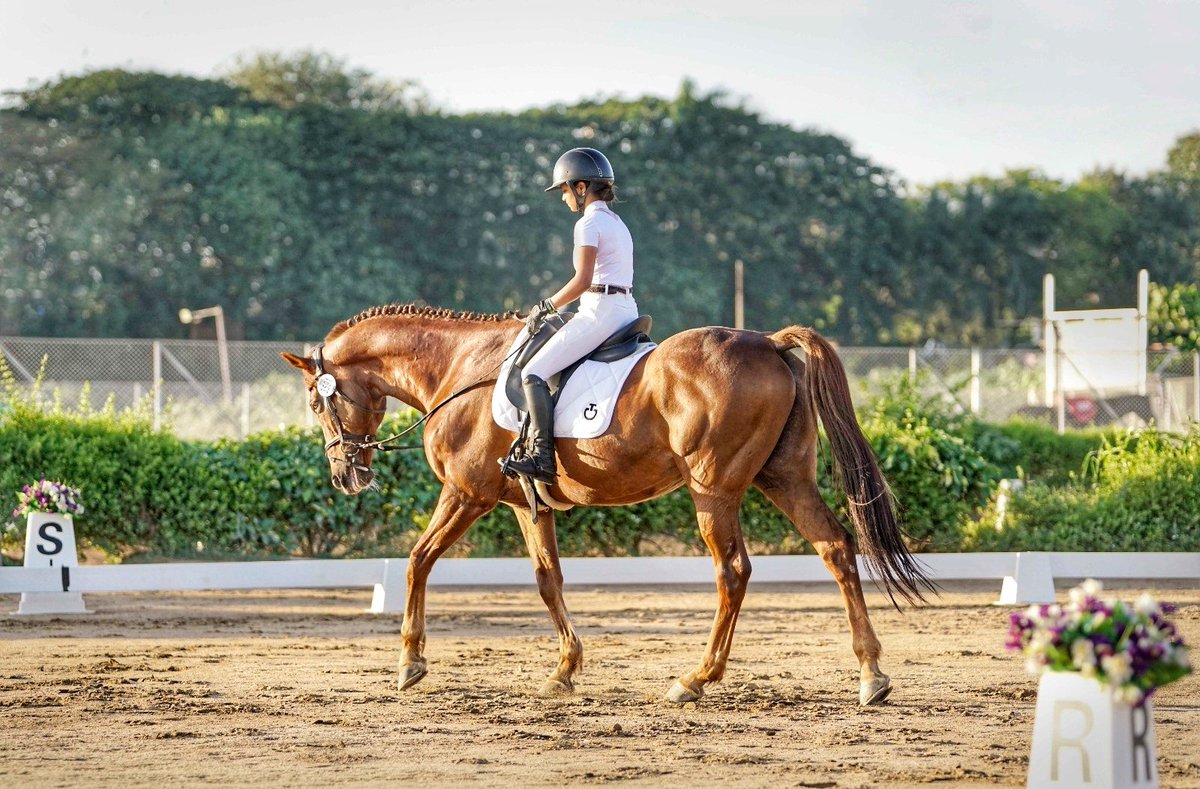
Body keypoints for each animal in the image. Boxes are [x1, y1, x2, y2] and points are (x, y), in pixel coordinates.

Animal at [283, 304, 936, 705]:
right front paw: (564, 671)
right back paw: (871, 675)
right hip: (784, 478)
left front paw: (410, 664)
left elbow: (418, 561)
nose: (345, 475)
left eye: (317, 403)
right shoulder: (527, 505)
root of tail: (769, 344)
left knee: (733, 571)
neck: (459, 370)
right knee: (836, 548)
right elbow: (548, 580)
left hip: (713, 489)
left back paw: (695, 680)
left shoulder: (466, 494)